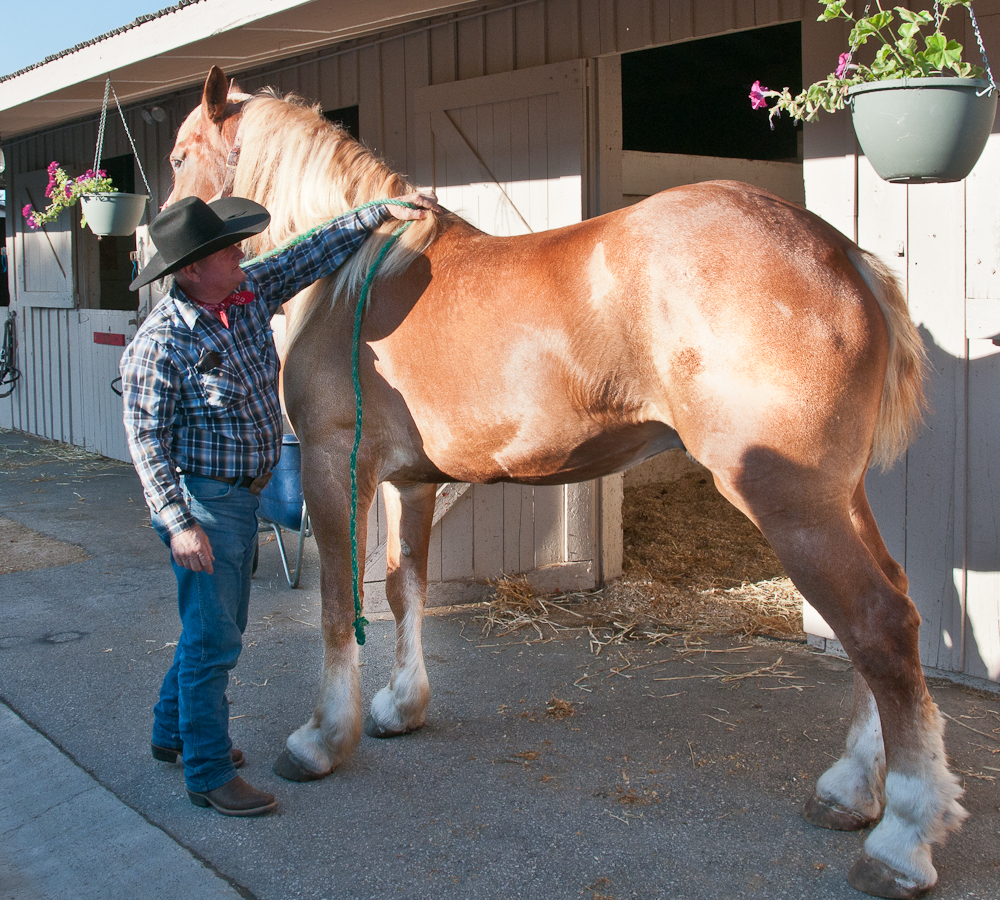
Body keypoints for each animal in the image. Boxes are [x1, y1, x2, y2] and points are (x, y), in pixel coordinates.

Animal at [164, 65, 964, 899]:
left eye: (182, 155)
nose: (152, 264)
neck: (354, 279)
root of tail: (843, 255)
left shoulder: (333, 464)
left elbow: (334, 605)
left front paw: (323, 738)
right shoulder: (409, 482)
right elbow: (403, 588)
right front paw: (400, 707)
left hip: (794, 501)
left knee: (876, 625)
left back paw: (901, 840)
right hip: (839, 495)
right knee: (889, 611)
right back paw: (851, 789)